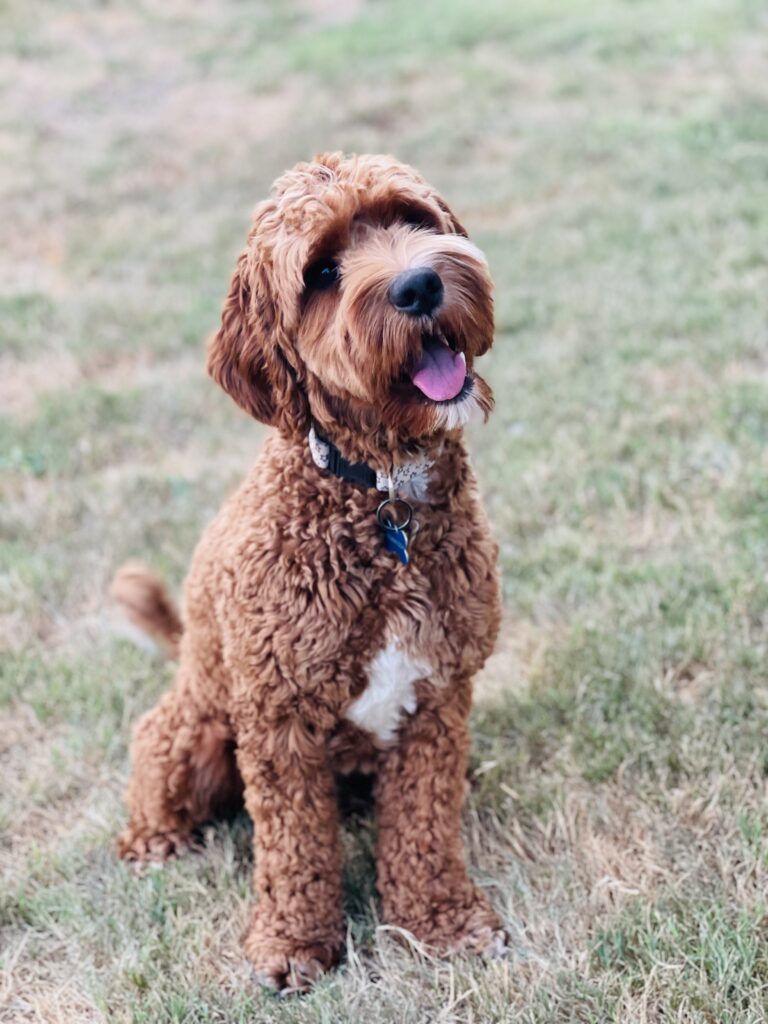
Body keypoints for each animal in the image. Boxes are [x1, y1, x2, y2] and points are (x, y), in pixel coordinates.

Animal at [112, 151, 505, 991]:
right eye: (321, 271)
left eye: (409, 218)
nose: (418, 286)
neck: (381, 498)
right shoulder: (278, 718)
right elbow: (293, 847)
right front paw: (294, 943)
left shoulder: (438, 693)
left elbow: (424, 826)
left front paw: (440, 920)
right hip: (199, 728)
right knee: (157, 761)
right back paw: (150, 841)